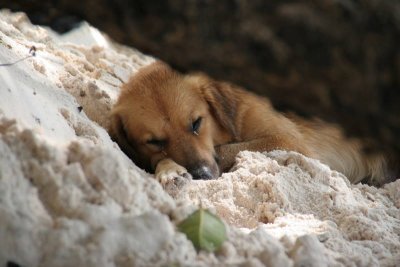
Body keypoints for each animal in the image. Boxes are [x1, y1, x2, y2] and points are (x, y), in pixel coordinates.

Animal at [109, 61, 394, 186]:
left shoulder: (289, 141)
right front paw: (169, 169)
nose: (202, 175)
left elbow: (227, 150)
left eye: (196, 123)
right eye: (155, 141)